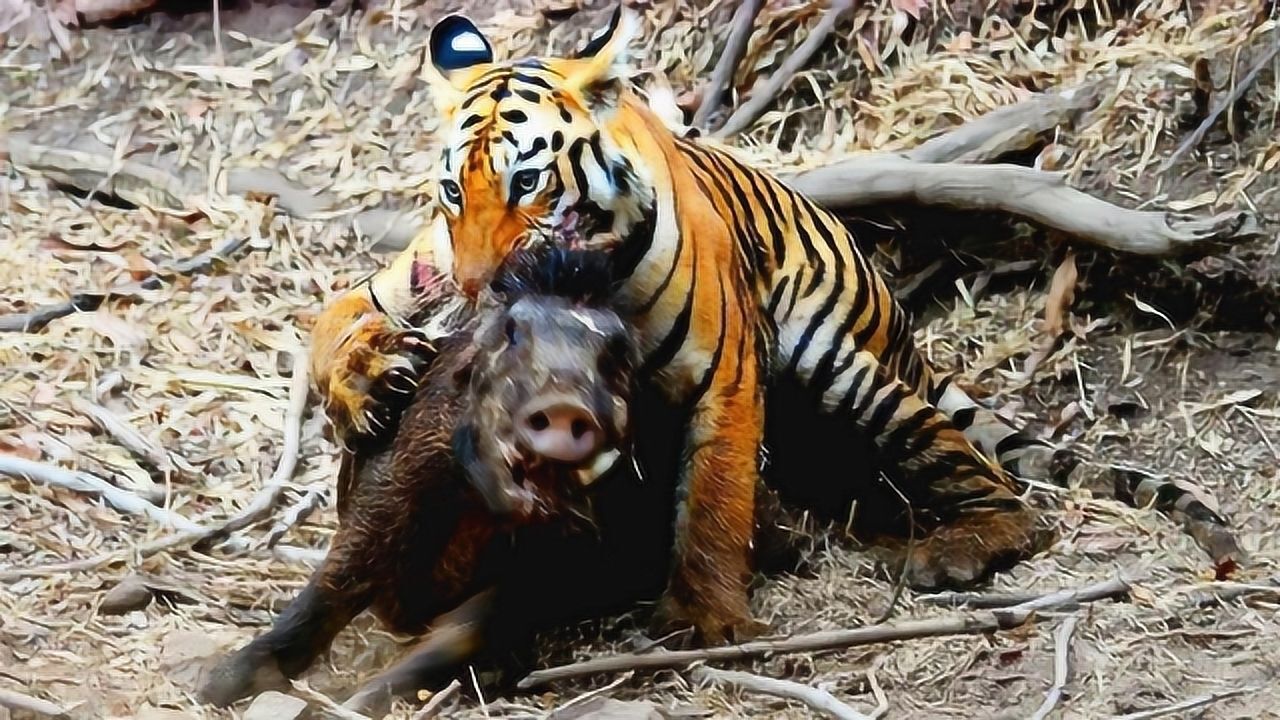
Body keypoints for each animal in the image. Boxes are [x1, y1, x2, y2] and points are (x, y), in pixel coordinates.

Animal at [310, 7, 1071, 643]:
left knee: (1002, 492)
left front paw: (705, 618)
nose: (476, 286)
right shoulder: (410, 273)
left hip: (842, 366)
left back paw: (954, 553)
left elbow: (711, 497)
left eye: (526, 183)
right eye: (453, 191)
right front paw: (367, 387)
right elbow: (329, 323)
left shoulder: (724, 371)